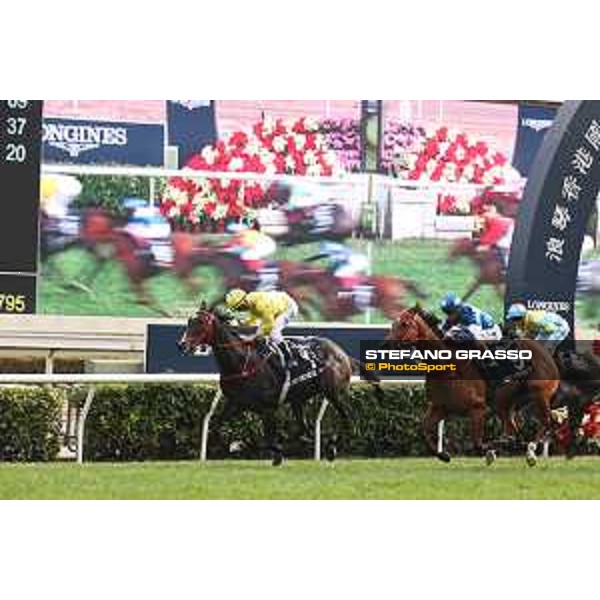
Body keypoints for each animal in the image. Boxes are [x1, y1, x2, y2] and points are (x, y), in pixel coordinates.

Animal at [176, 304, 382, 464]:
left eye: (201, 323)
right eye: (189, 321)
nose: (182, 345)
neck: (241, 362)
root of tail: (343, 354)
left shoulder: (267, 408)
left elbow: (267, 438)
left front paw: (244, 446)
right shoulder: (235, 403)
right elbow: (216, 427)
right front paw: (237, 445)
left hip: (333, 393)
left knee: (347, 419)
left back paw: (331, 448)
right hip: (298, 400)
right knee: (304, 430)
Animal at [386, 308, 560, 466]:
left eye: (405, 324)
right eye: (393, 324)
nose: (386, 343)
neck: (449, 367)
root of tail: (546, 352)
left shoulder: (477, 408)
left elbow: (477, 443)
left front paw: (490, 450)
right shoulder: (440, 407)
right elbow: (424, 429)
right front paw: (443, 455)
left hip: (539, 394)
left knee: (547, 421)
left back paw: (529, 452)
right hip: (505, 403)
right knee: (514, 428)